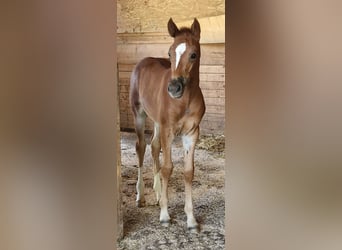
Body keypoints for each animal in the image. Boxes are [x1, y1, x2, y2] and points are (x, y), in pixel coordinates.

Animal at [128, 18, 204, 231]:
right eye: (170, 53)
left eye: (193, 54)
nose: (174, 88)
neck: (184, 101)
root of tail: (144, 61)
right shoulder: (168, 131)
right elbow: (168, 168)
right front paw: (164, 215)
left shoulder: (191, 133)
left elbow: (188, 171)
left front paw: (191, 219)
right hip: (139, 114)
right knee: (141, 147)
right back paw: (141, 196)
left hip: (156, 121)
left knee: (154, 147)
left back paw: (157, 193)